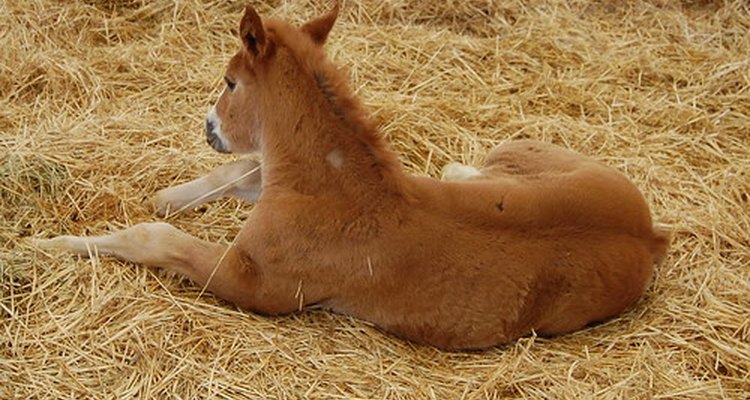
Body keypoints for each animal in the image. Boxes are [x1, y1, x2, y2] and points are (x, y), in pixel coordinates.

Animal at [38, 5, 668, 350]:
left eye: (230, 82)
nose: (209, 126)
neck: (332, 188)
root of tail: (651, 236)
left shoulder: (257, 284)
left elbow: (156, 238)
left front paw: (51, 244)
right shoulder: (268, 183)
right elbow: (242, 168)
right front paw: (165, 195)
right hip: (529, 152)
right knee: (475, 168)